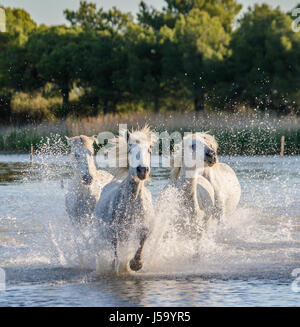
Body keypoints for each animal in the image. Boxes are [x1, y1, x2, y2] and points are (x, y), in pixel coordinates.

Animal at [94, 127, 157, 272]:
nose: (142, 170)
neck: (131, 204)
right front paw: (116, 266)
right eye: (130, 150)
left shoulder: (145, 228)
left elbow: (141, 242)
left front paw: (136, 264)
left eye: (149, 150)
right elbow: (115, 253)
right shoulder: (113, 232)